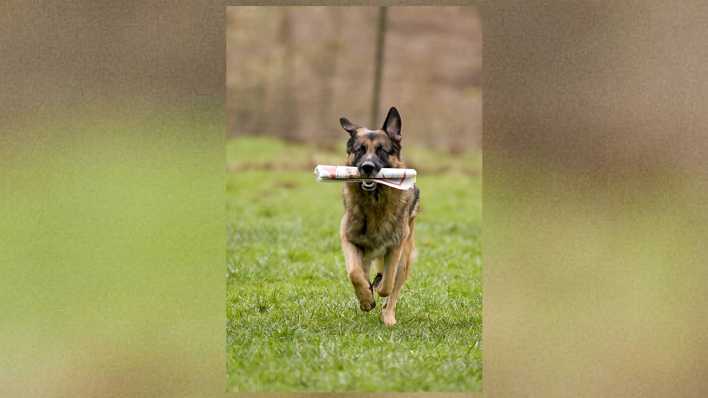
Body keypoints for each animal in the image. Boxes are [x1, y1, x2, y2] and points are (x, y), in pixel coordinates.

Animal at [338, 106, 418, 326]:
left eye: (382, 150)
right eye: (360, 149)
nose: (367, 167)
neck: (375, 203)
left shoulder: (396, 247)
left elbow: (388, 284)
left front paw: (378, 288)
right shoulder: (348, 238)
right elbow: (354, 273)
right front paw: (366, 299)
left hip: (405, 259)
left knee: (393, 292)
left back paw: (388, 316)